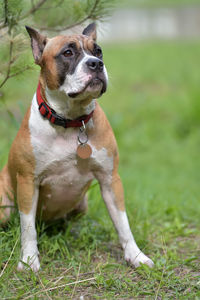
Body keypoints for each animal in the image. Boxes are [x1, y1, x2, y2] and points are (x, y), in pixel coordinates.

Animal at [0, 23, 153, 272]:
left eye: (98, 51)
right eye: (68, 53)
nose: (96, 63)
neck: (71, 121)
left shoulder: (110, 180)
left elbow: (122, 222)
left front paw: (135, 255)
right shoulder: (27, 183)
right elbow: (28, 228)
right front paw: (29, 260)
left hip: (82, 205)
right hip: (4, 208)